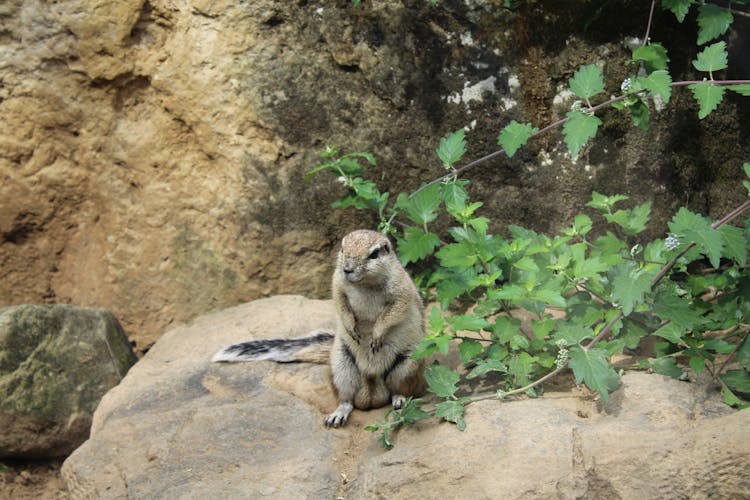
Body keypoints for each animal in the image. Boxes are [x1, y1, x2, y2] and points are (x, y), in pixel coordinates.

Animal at [214, 229, 426, 428]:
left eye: (374, 254)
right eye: (343, 249)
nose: (347, 269)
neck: (365, 285)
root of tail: (372, 390)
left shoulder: (402, 292)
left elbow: (392, 313)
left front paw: (376, 335)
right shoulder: (337, 285)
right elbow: (340, 305)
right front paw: (351, 327)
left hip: (407, 365)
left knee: (400, 390)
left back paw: (400, 400)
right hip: (341, 366)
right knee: (347, 400)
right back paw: (338, 413)